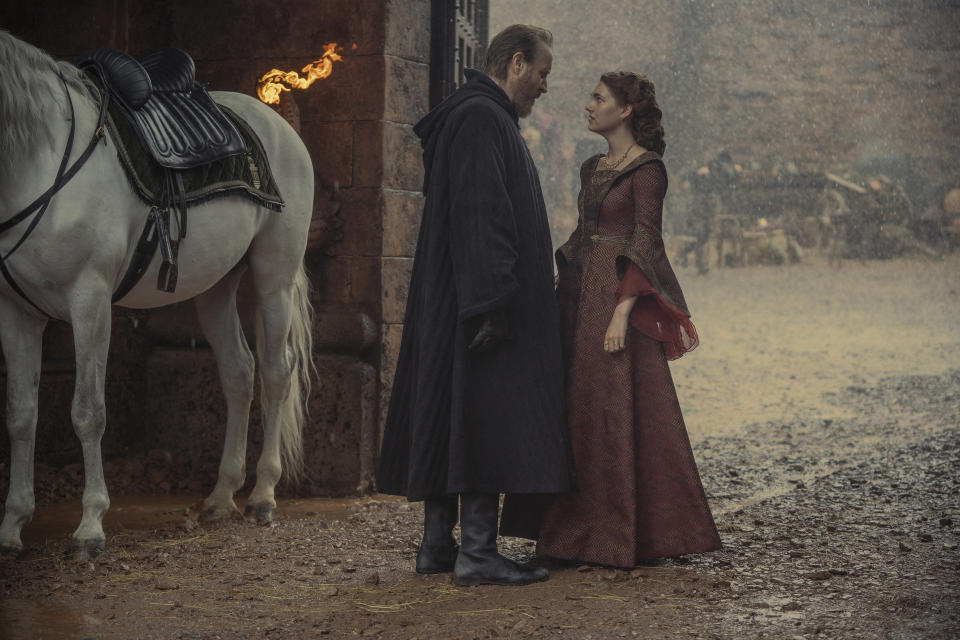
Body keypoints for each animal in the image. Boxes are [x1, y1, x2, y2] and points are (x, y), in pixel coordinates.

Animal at [0, 32, 316, 556]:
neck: (44, 158)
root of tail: (277, 124)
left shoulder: (89, 301)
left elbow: (88, 412)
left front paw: (90, 527)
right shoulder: (17, 313)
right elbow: (22, 415)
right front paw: (12, 526)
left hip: (275, 274)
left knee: (276, 372)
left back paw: (263, 496)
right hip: (215, 287)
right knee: (239, 372)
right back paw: (221, 497)